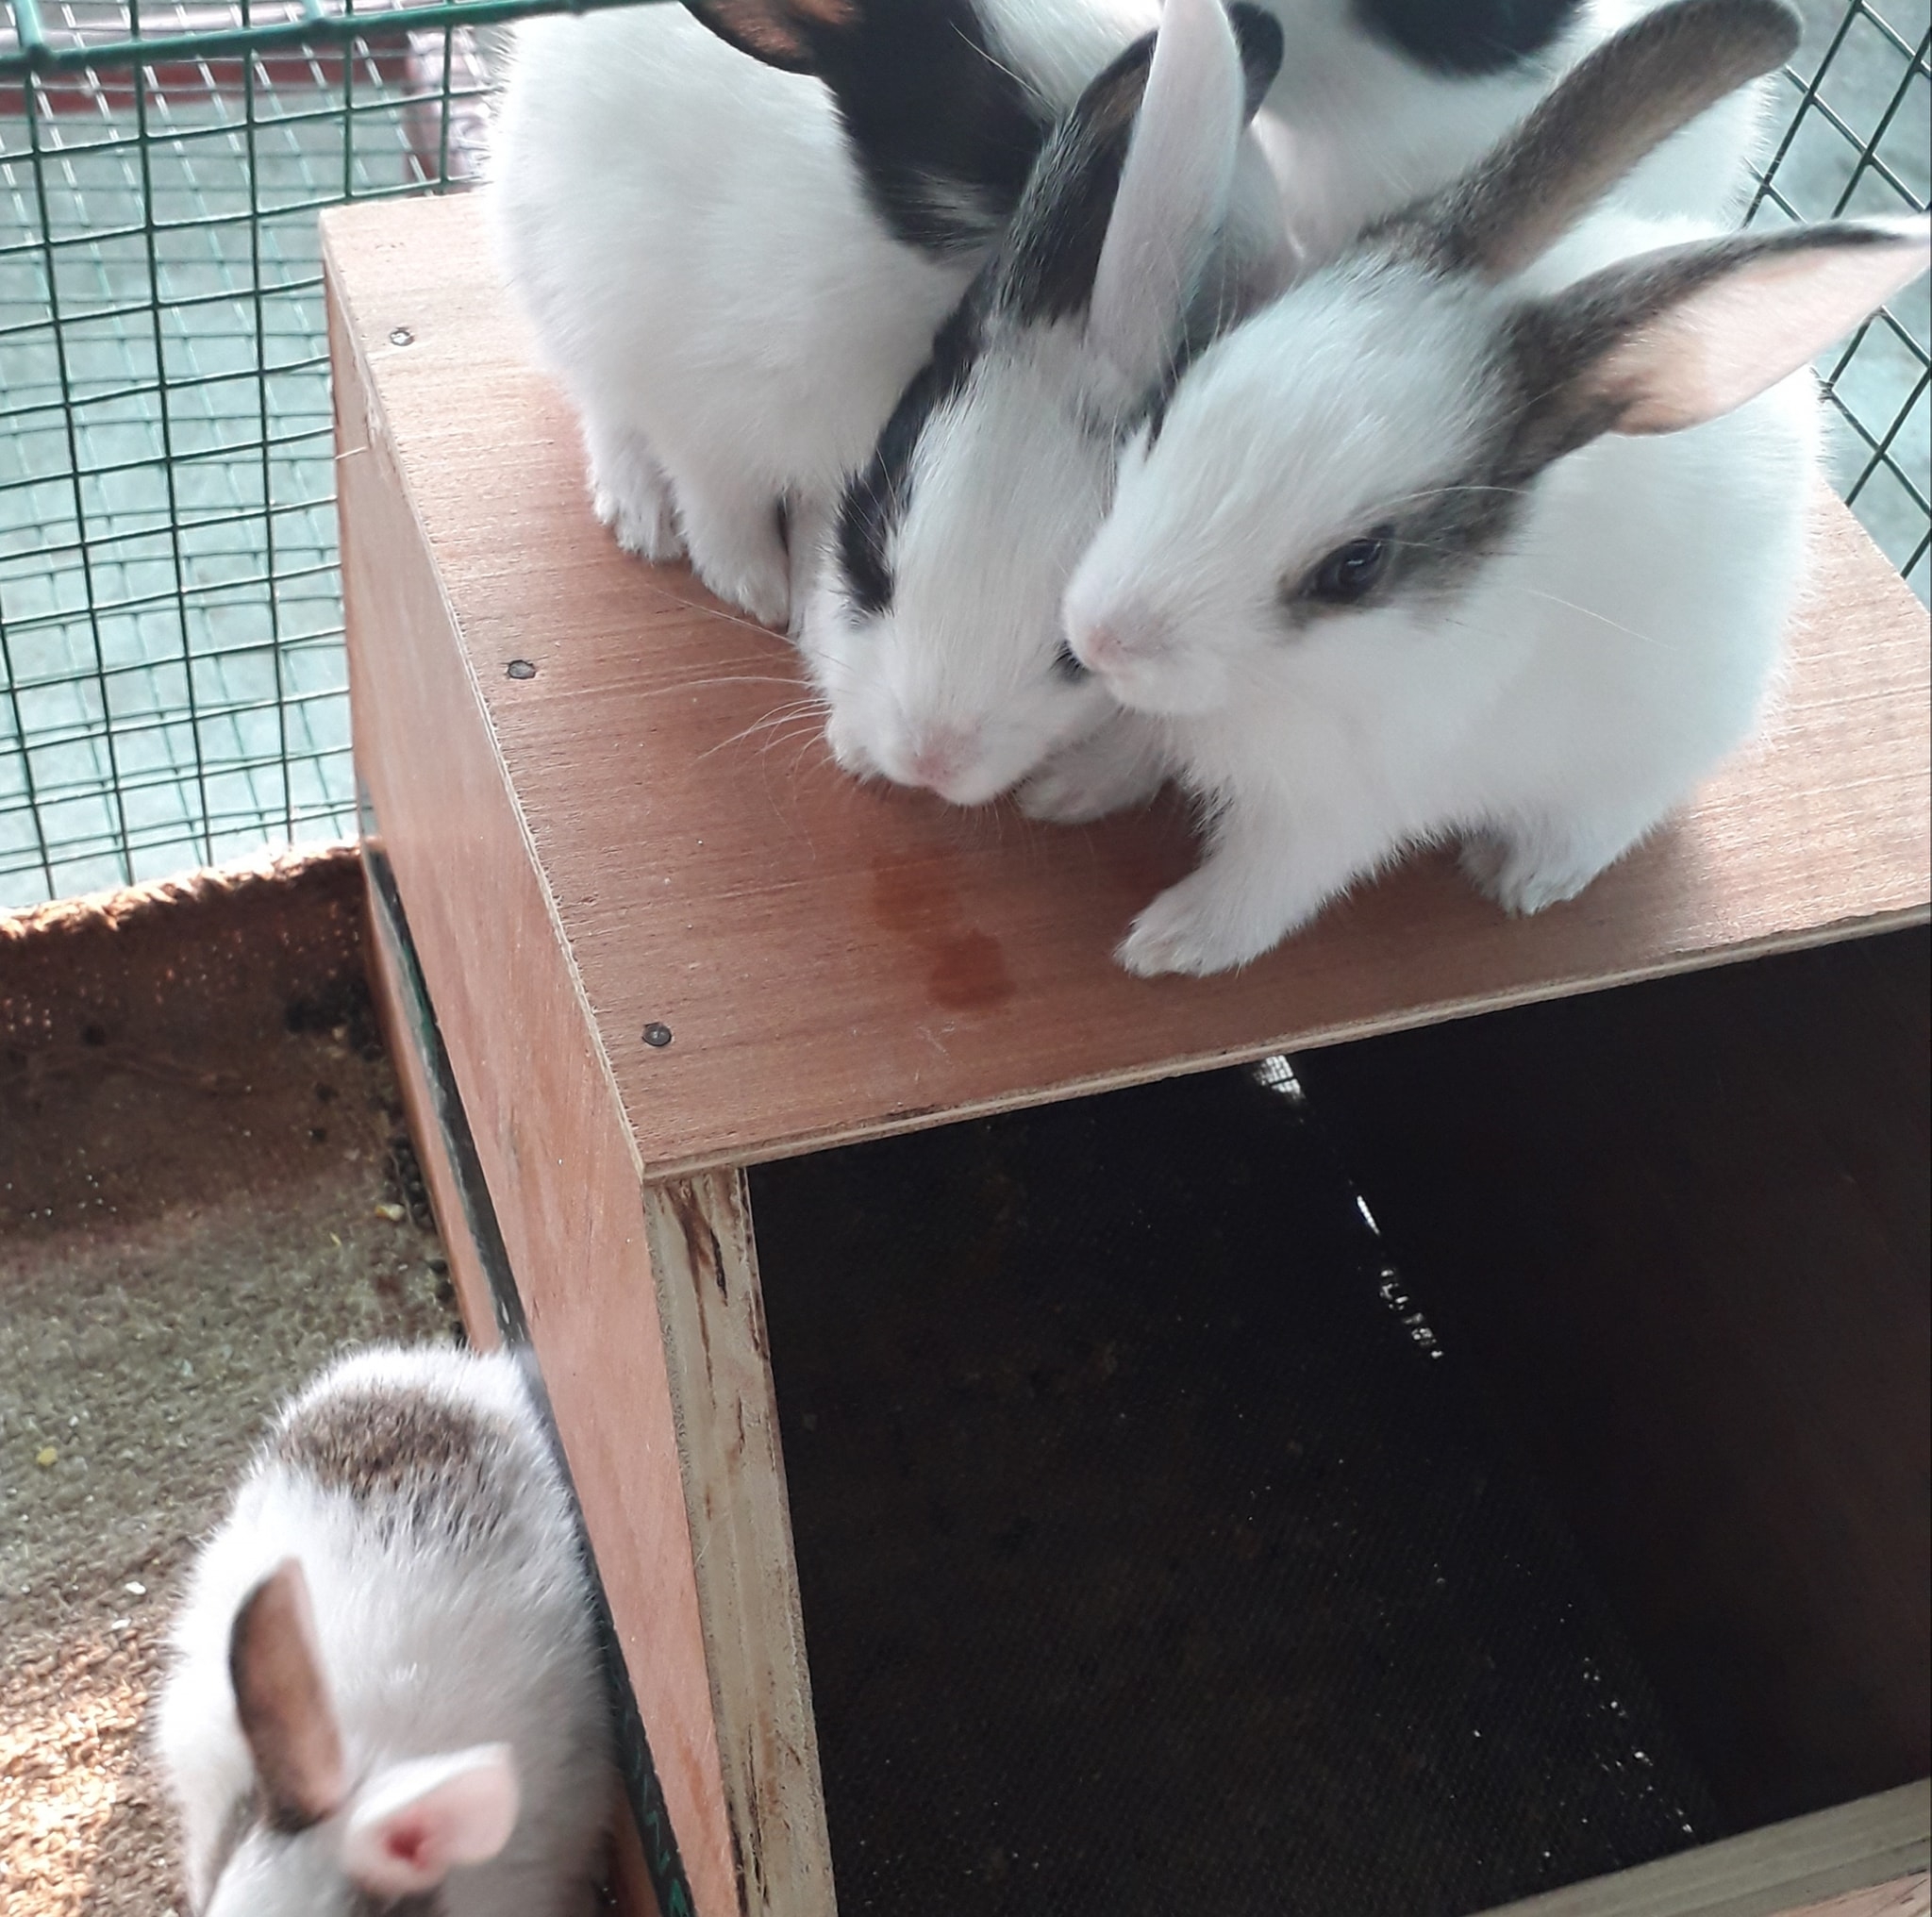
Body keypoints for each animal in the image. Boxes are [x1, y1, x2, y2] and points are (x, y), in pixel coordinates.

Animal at [489, 0, 1658, 630]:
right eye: (1023, 139)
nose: (1267, 260)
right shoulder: (695, 387)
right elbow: (717, 492)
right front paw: (758, 590)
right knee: (606, 417)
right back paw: (638, 517)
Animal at [1052, 0, 1931, 977]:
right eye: (1177, 402)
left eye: (1357, 566)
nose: (1099, 639)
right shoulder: (1168, 719)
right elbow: (1135, 743)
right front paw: (1067, 789)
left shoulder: (1340, 811)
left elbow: (1263, 889)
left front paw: (1168, 944)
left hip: (1650, 754)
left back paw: (1524, 878)